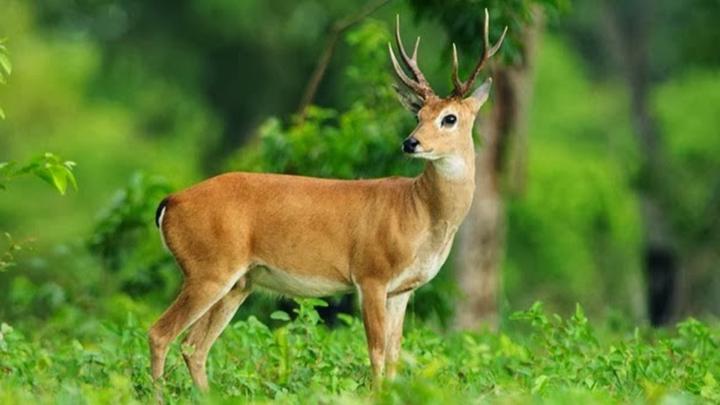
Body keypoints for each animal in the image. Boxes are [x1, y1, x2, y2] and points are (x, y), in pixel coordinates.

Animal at [148, 9, 506, 391]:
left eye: (449, 118)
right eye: (418, 115)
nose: (411, 142)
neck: (420, 212)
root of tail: (170, 202)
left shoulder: (401, 290)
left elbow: (396, 355)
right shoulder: (371, 274)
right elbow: (377, 352)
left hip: (238, 282)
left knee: (194, 346)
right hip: (209, 269)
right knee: (161, 333)